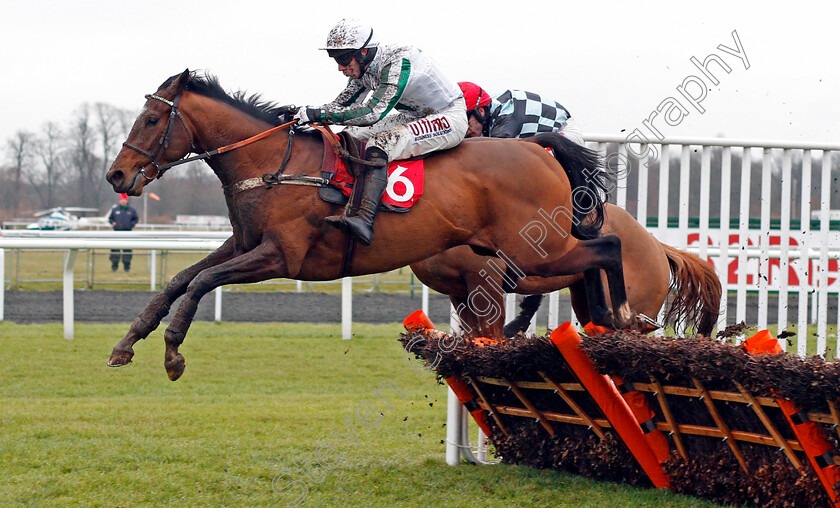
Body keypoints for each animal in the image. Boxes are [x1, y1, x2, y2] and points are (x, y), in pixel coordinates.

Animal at [106, 70, 636, 380]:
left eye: (150, 120)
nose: (117, 175)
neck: (273, 163)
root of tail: (538, 148)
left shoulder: (280, 256)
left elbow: (201, 283)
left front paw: (173, 353)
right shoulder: (243, 243)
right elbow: (179, 278)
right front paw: (127, 343)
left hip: (533, 250)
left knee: (608, 246)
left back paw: (621, 316)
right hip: (519, 253)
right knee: (592, 257)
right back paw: (605, 322)